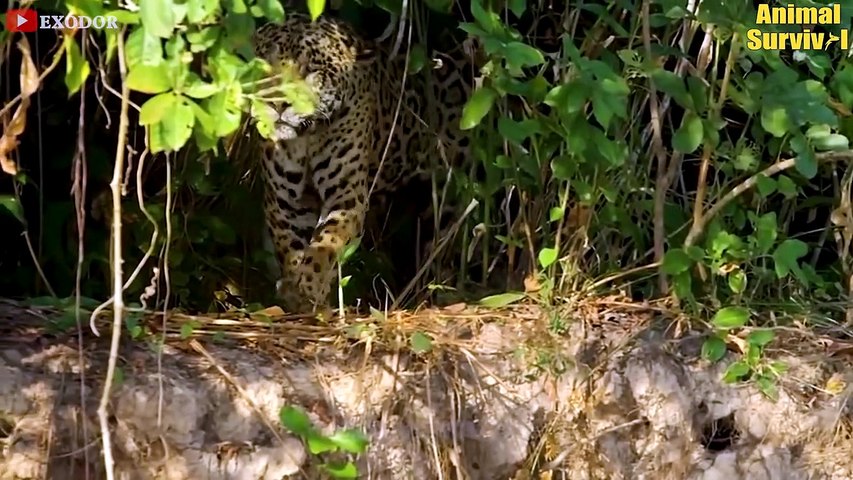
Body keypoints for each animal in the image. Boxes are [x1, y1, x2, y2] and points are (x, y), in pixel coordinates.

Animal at [251, 12, 474, 313]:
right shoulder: (285, 203)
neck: (307, 139)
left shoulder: (345, 196)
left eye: (312, 70)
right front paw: (294, 290)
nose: (277, 104)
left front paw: (309, 289)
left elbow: (326, 245)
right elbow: (291, 247)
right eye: (265, 65)